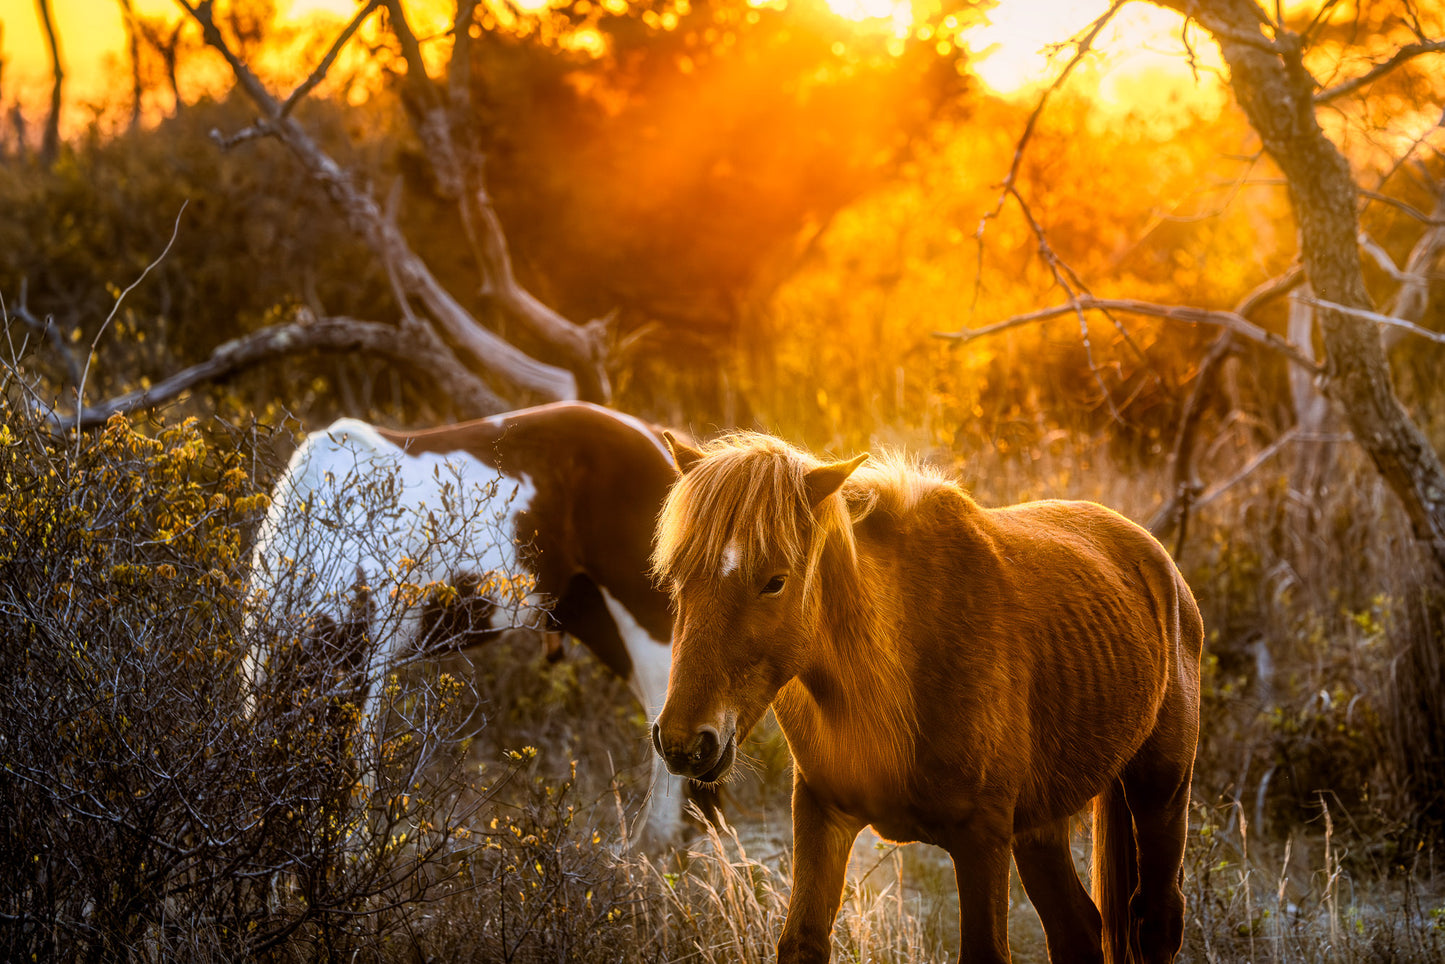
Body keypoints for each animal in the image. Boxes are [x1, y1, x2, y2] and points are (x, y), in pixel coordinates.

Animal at [247, 400, 712, 847]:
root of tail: (662, 445)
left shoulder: (366, 676)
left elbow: (354, 789)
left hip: (647, 620)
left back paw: (657, 844)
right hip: (596, 616)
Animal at [649, 432, 1203, 963]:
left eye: (775, 582)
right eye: (678, 577)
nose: (684, 742)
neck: (894, 672)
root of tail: (1155, 557)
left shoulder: (982, 839)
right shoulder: (822, 815)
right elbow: (802, 943)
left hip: (1161, 793)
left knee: (1156, 921)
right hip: (1040, 826)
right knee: (1079, 932)